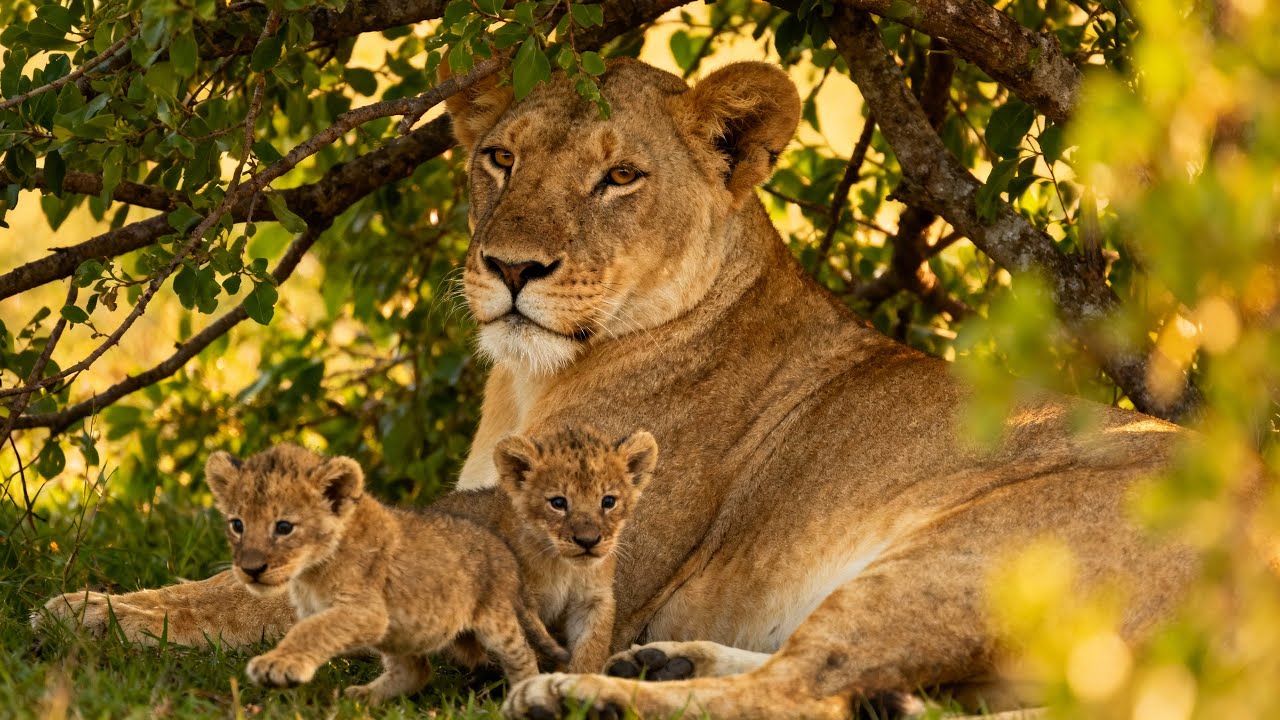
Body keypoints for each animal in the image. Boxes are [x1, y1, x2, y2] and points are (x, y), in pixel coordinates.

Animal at [202, 444, 566, 705]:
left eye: (284, 527)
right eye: (237, 524)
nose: (250, 570)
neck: (309, 573)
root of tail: (504, 552)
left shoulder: (366, 610)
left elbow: (312, 631)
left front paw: (278, 666)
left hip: (494, 618)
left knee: (522, 653)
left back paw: (523, 695)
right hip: (401, 633)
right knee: (416, 670)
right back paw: (362, 697)